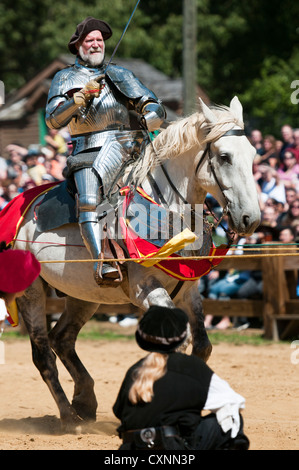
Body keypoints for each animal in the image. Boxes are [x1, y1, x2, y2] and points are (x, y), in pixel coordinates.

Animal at [14, 97, 262, 432]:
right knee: (43, 355)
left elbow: (201, 346)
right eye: (224, 157)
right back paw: (68, 417)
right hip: (31, 293)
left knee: (62, 339)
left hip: (83, 296)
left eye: (253, 154)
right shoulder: (147, 292)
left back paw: (85, 401)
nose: (251, 219)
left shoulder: (189, 292)